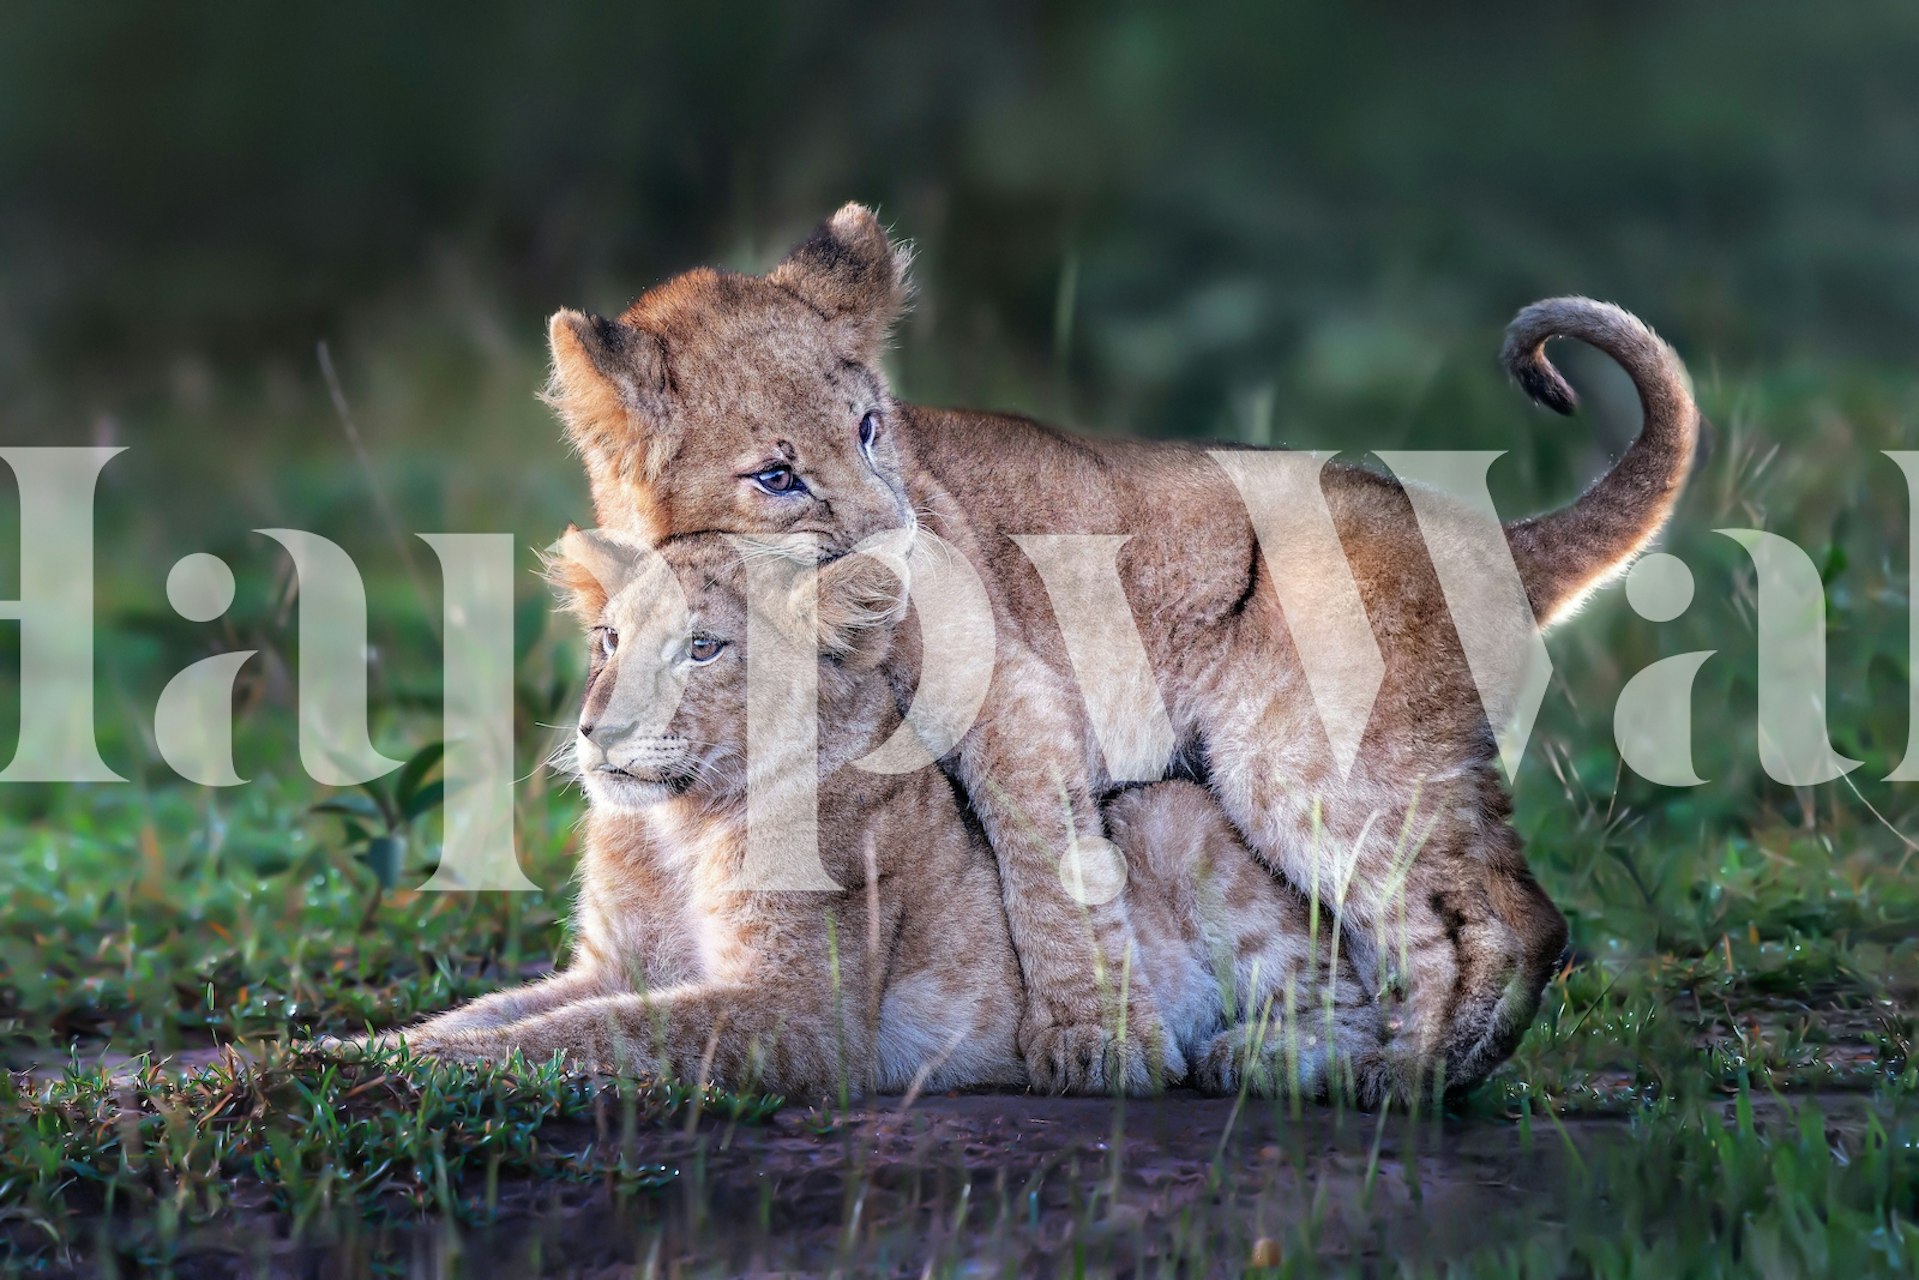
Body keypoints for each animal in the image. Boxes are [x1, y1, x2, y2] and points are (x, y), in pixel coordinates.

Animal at [348, 529, 1386, 1101]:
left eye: (702, 648)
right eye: (607, 639)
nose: (596, 732)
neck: (678, 826)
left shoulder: (799, 1013)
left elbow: (586, 1036)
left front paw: (414, 1073)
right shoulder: (612, 965)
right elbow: (494, 1014)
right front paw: (340, 1052)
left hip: (1170, 815)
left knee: (1365, 1014)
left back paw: (1248, 1058)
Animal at [540, 204, 1697, 1097]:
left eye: (870, 429)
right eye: (775, 476)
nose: (905, 549)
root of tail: (1482, 531)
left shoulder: (1011, 690)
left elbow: (1044, 865)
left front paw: (1095, 1043)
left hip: (1305, 760)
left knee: (1503, 918)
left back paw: (1398, 1078)